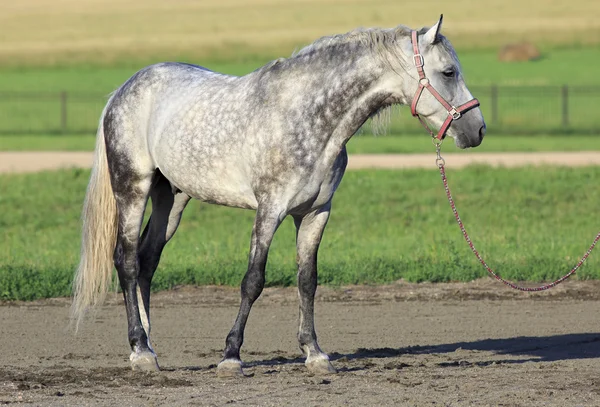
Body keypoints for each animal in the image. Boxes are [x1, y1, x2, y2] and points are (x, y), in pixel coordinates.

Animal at [70, 16, 486, 380]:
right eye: (449, 72)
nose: (477, 129)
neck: (308, 118)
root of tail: (125, 89)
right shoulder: (270, 210)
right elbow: (253, 280)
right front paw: (231, 357)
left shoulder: (316, 213)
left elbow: (308, 281)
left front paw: (315, 354)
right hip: (133, 189)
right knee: (127, 262)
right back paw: (140, 350)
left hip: (171, 200)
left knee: (147, 261)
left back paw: (148, 345)